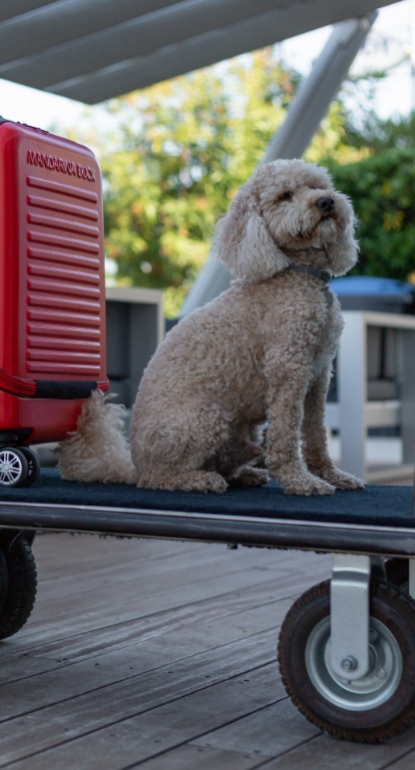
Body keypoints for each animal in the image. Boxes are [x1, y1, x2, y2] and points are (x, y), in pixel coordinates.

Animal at [58, 158, 364, 492]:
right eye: (285, 195)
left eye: (318, 186)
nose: (327, 202)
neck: (301, 275)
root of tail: (134, 464)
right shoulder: (288, 369)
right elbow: (286, 433)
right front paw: (300, 481)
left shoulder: (319, 374)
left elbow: (316, 433)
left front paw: (332, 475)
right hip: (205, 419)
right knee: (160, 478)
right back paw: (202, 479)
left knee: (226, 459)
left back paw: (245, 468)